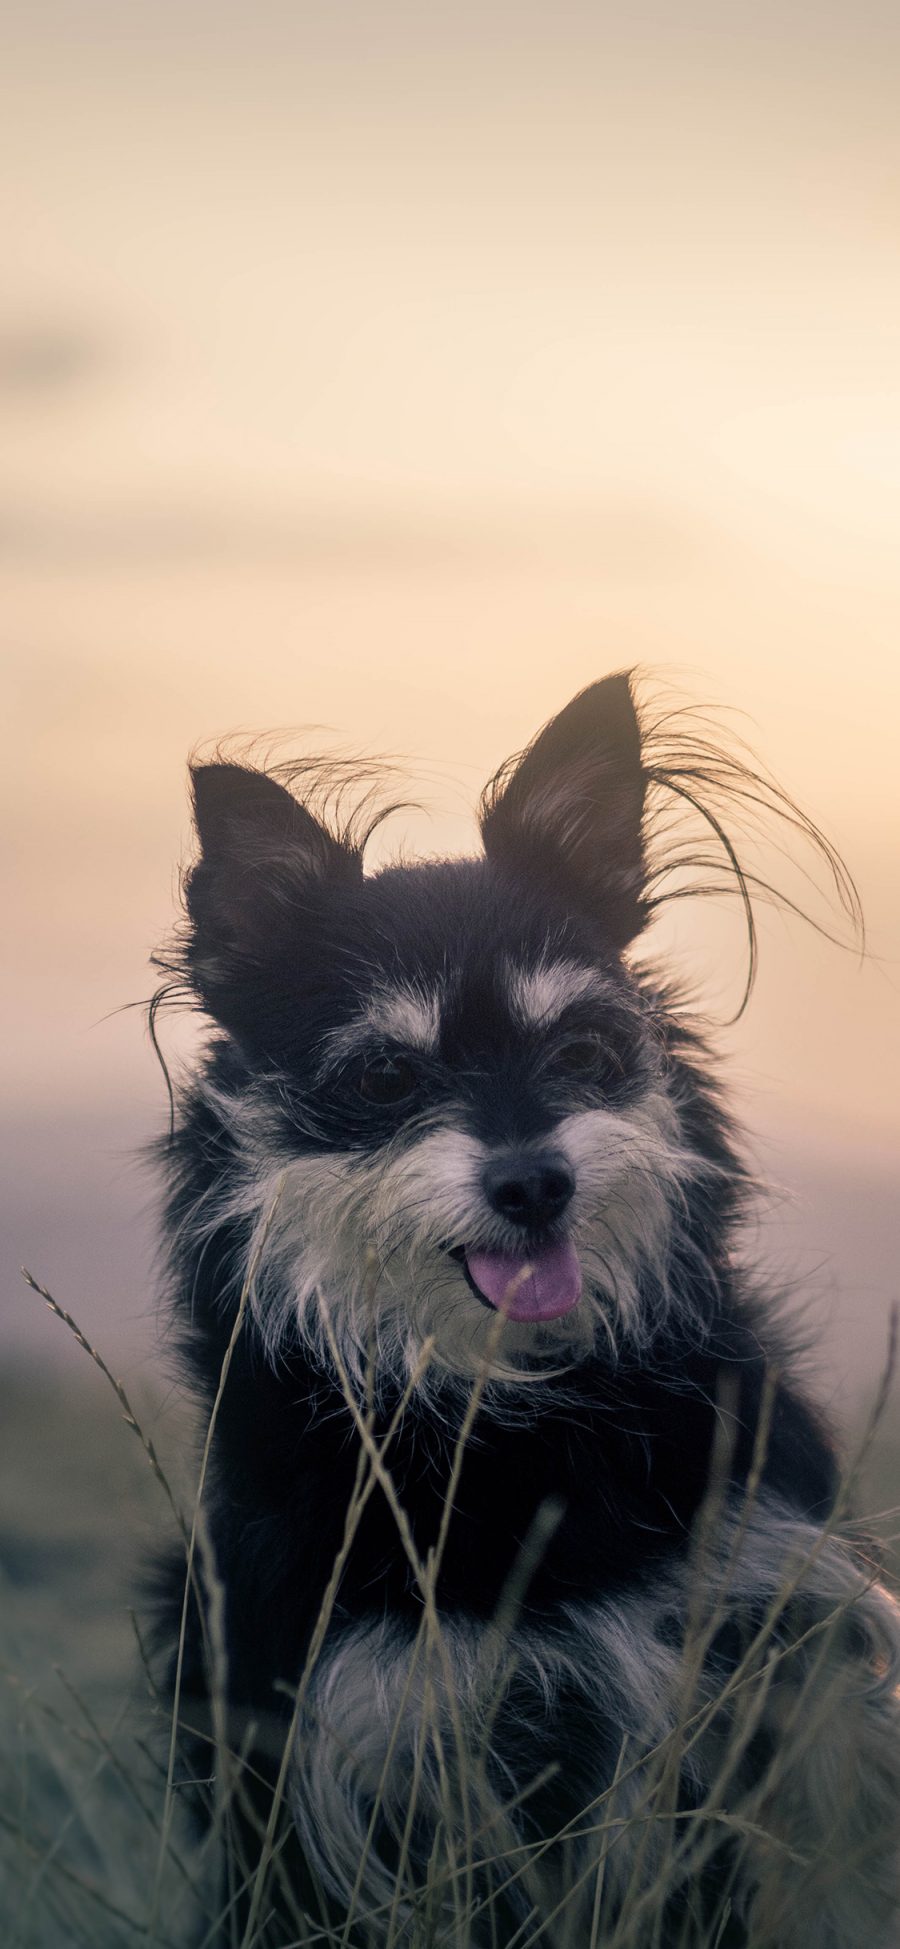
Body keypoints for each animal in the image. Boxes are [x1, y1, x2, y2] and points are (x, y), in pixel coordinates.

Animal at [152, 674, 900, 1949]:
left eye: (586, 1047)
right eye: (385, 1076)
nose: (534, 1182)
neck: (520, 1409)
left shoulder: (745, 1636)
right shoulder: (377, 1715)